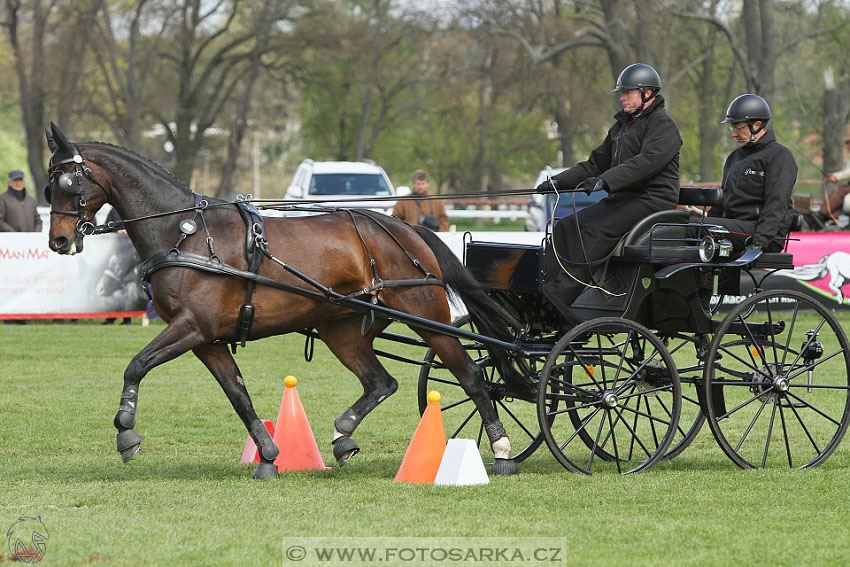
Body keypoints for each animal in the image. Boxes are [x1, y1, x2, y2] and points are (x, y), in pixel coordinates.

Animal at [44, 124, 524, 480]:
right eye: (49, 187)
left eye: (68, 182)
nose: (59, 241)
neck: (185, 233)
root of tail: (404, 227)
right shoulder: (207, 340)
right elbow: (239, 396)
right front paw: (269, 456)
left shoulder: (190, 327)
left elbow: (137, 365)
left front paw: (126, 432)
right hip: (342, 329)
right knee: (381, 382)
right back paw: (343, 437)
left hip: (424, 314)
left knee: (471, 376)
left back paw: (501, 450)